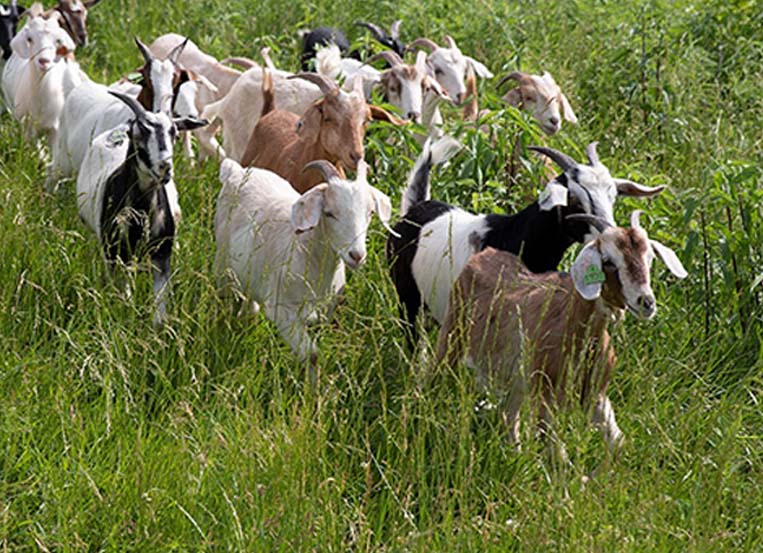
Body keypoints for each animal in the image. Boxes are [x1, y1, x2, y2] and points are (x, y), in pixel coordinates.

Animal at [76, 91, 206, 327]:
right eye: (142, 131)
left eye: (174, 133)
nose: (165, 167)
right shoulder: (115, 253)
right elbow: (123, 296)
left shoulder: (161, 255)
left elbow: (159, 313)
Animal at [214, 159, 394, 361]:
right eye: (329, 213)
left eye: (370, 213)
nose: (357, 255)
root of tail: (235, 170)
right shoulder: (282, 311)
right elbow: (312, 355)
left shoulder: (324, 313)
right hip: (223, 264)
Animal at [387, 142, 667, 344]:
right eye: (575, 200)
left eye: (613, 197)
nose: (610, 232)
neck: (515, 236)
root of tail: (415, 208)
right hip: (407, 297)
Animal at [436, 212, 687, 452]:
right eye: (608, 261)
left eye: (650, 259)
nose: (646, 302)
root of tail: (484, 254)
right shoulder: (545, 395)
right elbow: (557, 453)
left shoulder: (595, 394)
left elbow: (618, 444)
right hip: (452, 337)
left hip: (518, 381)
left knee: (509, 417)